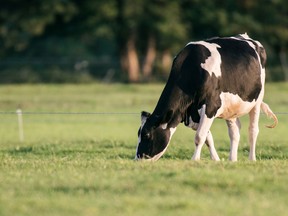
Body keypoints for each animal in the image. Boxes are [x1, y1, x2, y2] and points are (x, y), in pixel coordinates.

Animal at [136, 33, 278, 161]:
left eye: (147, 135)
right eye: (138, 133)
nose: (138, 159)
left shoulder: (210, 106)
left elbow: (199, 136)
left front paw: (195, 160)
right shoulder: (194, 114)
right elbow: (207, 138)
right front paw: (216, 160)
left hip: (257, 101)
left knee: (253, 131)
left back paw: (252, 159)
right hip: (230, 108)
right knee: (234, 132)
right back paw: (232, 160)